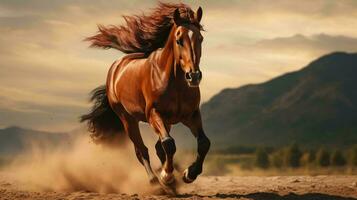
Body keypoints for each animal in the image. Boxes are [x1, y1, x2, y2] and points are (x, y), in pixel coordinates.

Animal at [80, 2, 209, 188]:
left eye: (200, 38)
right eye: (179, 40)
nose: (193, 76)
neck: (173, 81)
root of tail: (116, 68)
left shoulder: (190, 115)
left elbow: (204, 143)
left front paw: (189, 174)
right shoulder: (153, 114)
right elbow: (169, 144)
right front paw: (167, 176)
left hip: (167, 122)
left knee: (157, 148)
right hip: (128, 119)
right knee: (142, 150)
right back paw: (155, 180)